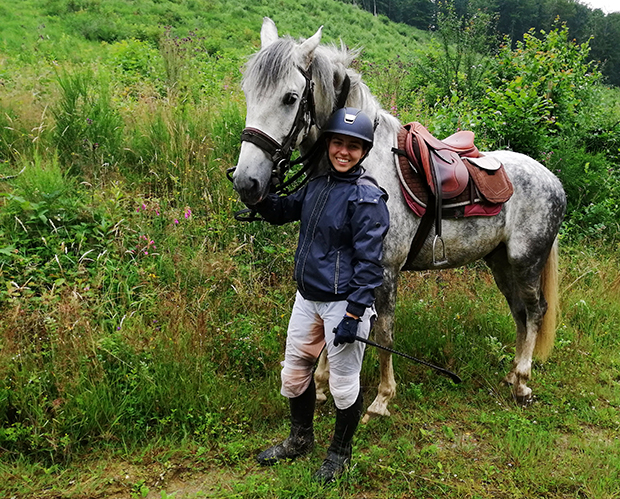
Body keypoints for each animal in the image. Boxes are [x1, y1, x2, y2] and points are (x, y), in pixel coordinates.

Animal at [232, 17, 567, 421]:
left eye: (290, 98)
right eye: (248, 92)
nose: (247, 182)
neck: (361, 169)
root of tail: (552, 179)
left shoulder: (384, 271)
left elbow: (384, 332)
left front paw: (381, 399)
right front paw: (324, 386)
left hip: (525, 260)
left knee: (534, 311)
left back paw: (522, 382)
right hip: (499, 261)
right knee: (519, 311)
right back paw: (513, 375)